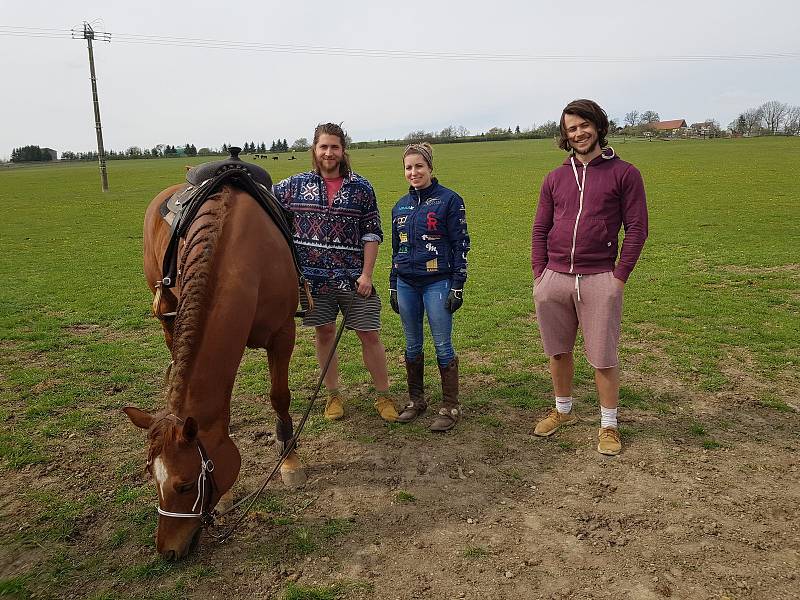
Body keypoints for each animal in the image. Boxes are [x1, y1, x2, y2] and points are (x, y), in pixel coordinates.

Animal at [126, 182, 304, 556]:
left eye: (184, 485)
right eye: (152, 479)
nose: (167, 551)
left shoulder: (283, 333)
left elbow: (280, 396)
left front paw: (290, 459)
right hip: (168, 321)